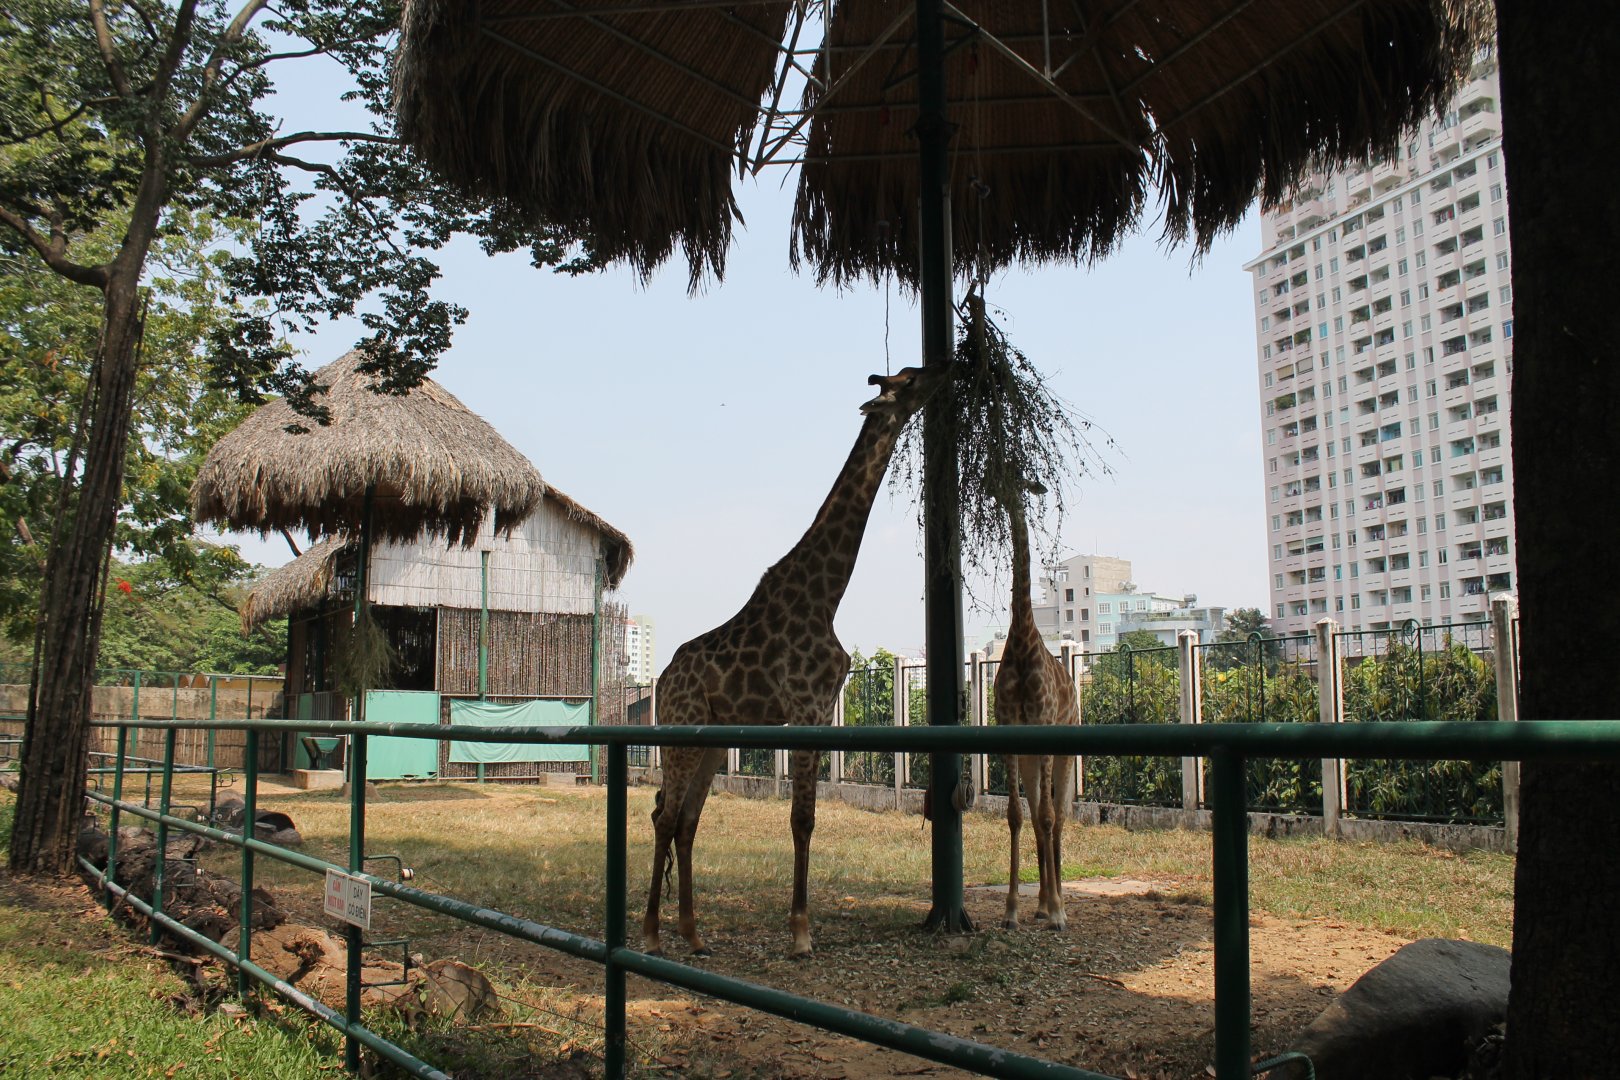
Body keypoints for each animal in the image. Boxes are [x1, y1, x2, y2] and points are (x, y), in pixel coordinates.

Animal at [643, 365, 941, 959]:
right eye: (909, 380)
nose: (946, 370)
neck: (827, 594)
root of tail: (661, 682)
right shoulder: (804, 705)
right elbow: (801, 817)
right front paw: (801, 933)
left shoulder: (823, 710)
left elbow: (809, 816)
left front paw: (801, 928)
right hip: (682, 730)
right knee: (665, 815)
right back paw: (651, 933)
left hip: (712, 738)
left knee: (686, 819)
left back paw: (693, 934)